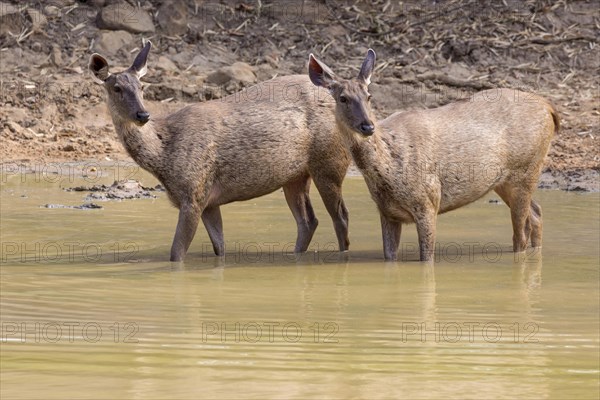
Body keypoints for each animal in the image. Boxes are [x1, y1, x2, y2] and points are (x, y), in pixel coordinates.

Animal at [90, 39, 352, 260]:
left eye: (142, 86)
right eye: (116, 88)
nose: (143, 114)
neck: (164, 157)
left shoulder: (194, 193)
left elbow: (176, 254)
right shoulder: (209, 200)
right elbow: (220, 248)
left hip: (330, 161)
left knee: (340, 217)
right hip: (295, 175)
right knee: (308, 221)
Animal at [310, 49, 556, 262]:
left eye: (369, 96)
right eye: (343, 98)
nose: (367, 126)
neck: (388, 171)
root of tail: (550, 108)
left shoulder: (428, 200)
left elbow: (426, 259)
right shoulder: (387, 211)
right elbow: (390, 257)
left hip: (526, 168)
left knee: (521, 233)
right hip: (504, 181)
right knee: (536, 214)